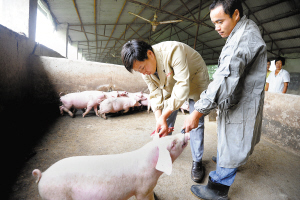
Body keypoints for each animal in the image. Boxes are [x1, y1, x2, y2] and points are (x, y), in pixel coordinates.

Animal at [32, 132, 190, 199]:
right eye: (173, 143)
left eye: (168, 136)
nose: (185, 134)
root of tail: (43, 174)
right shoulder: (143, 189)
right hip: (56, 196)